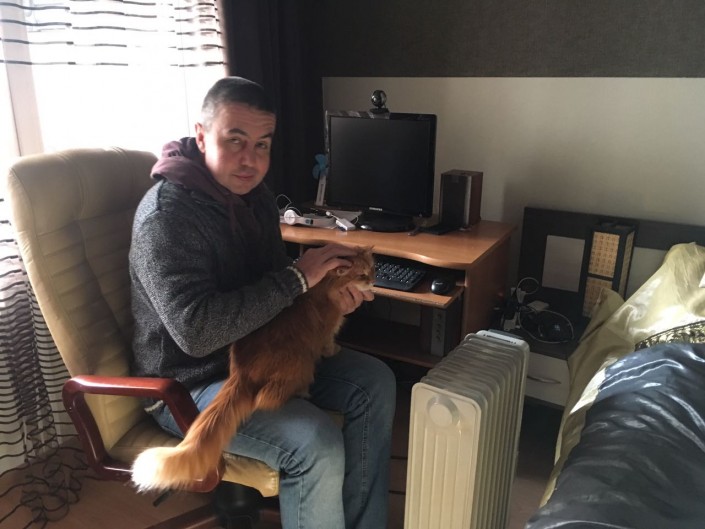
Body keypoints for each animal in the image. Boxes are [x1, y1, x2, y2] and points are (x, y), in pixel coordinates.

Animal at [131, 246, 375, 491]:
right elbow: (328, 343)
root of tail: (241, 373)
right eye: (362, 275)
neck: (325, 287)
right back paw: (302, 393)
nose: (373, 281)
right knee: (268, 398)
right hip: (303, 364)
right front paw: (335, 349)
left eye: (373, 270)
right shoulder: (326, 332)